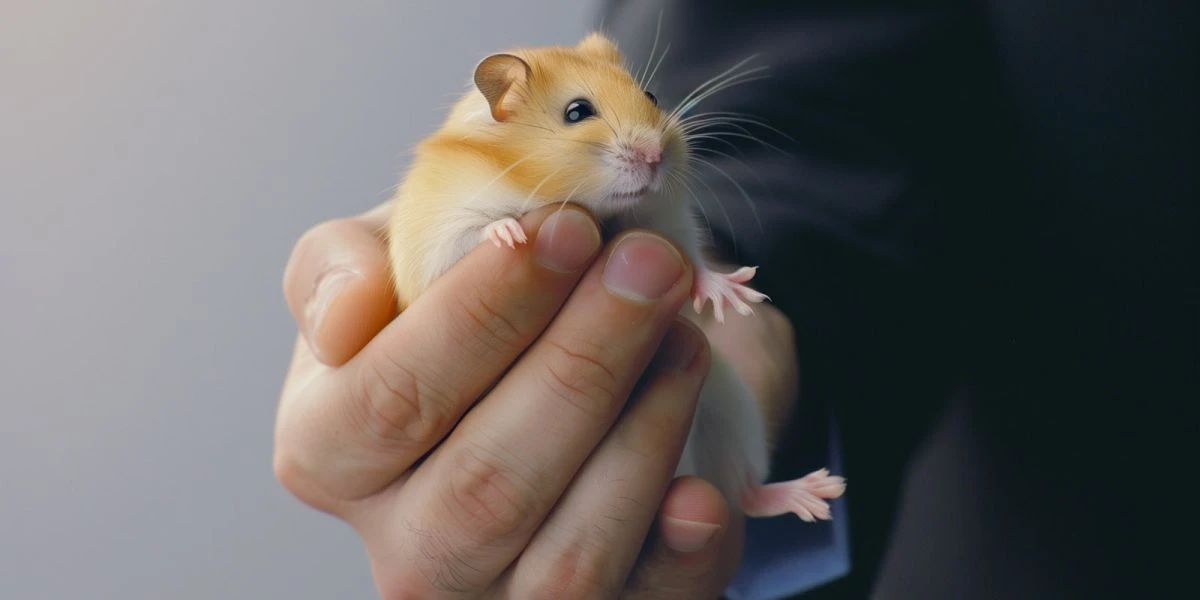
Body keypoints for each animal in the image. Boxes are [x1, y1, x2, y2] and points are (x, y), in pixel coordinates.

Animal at [385, 33, 845, 522]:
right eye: (577, 112)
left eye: (651, 96)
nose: (657, 155)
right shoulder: (435, 236)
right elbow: (467, 236)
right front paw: (510, 234)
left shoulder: (662, 216)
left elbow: (691, 258)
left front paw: (733, 294)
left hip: (729, 404)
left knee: (744, 494)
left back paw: (817, 493)